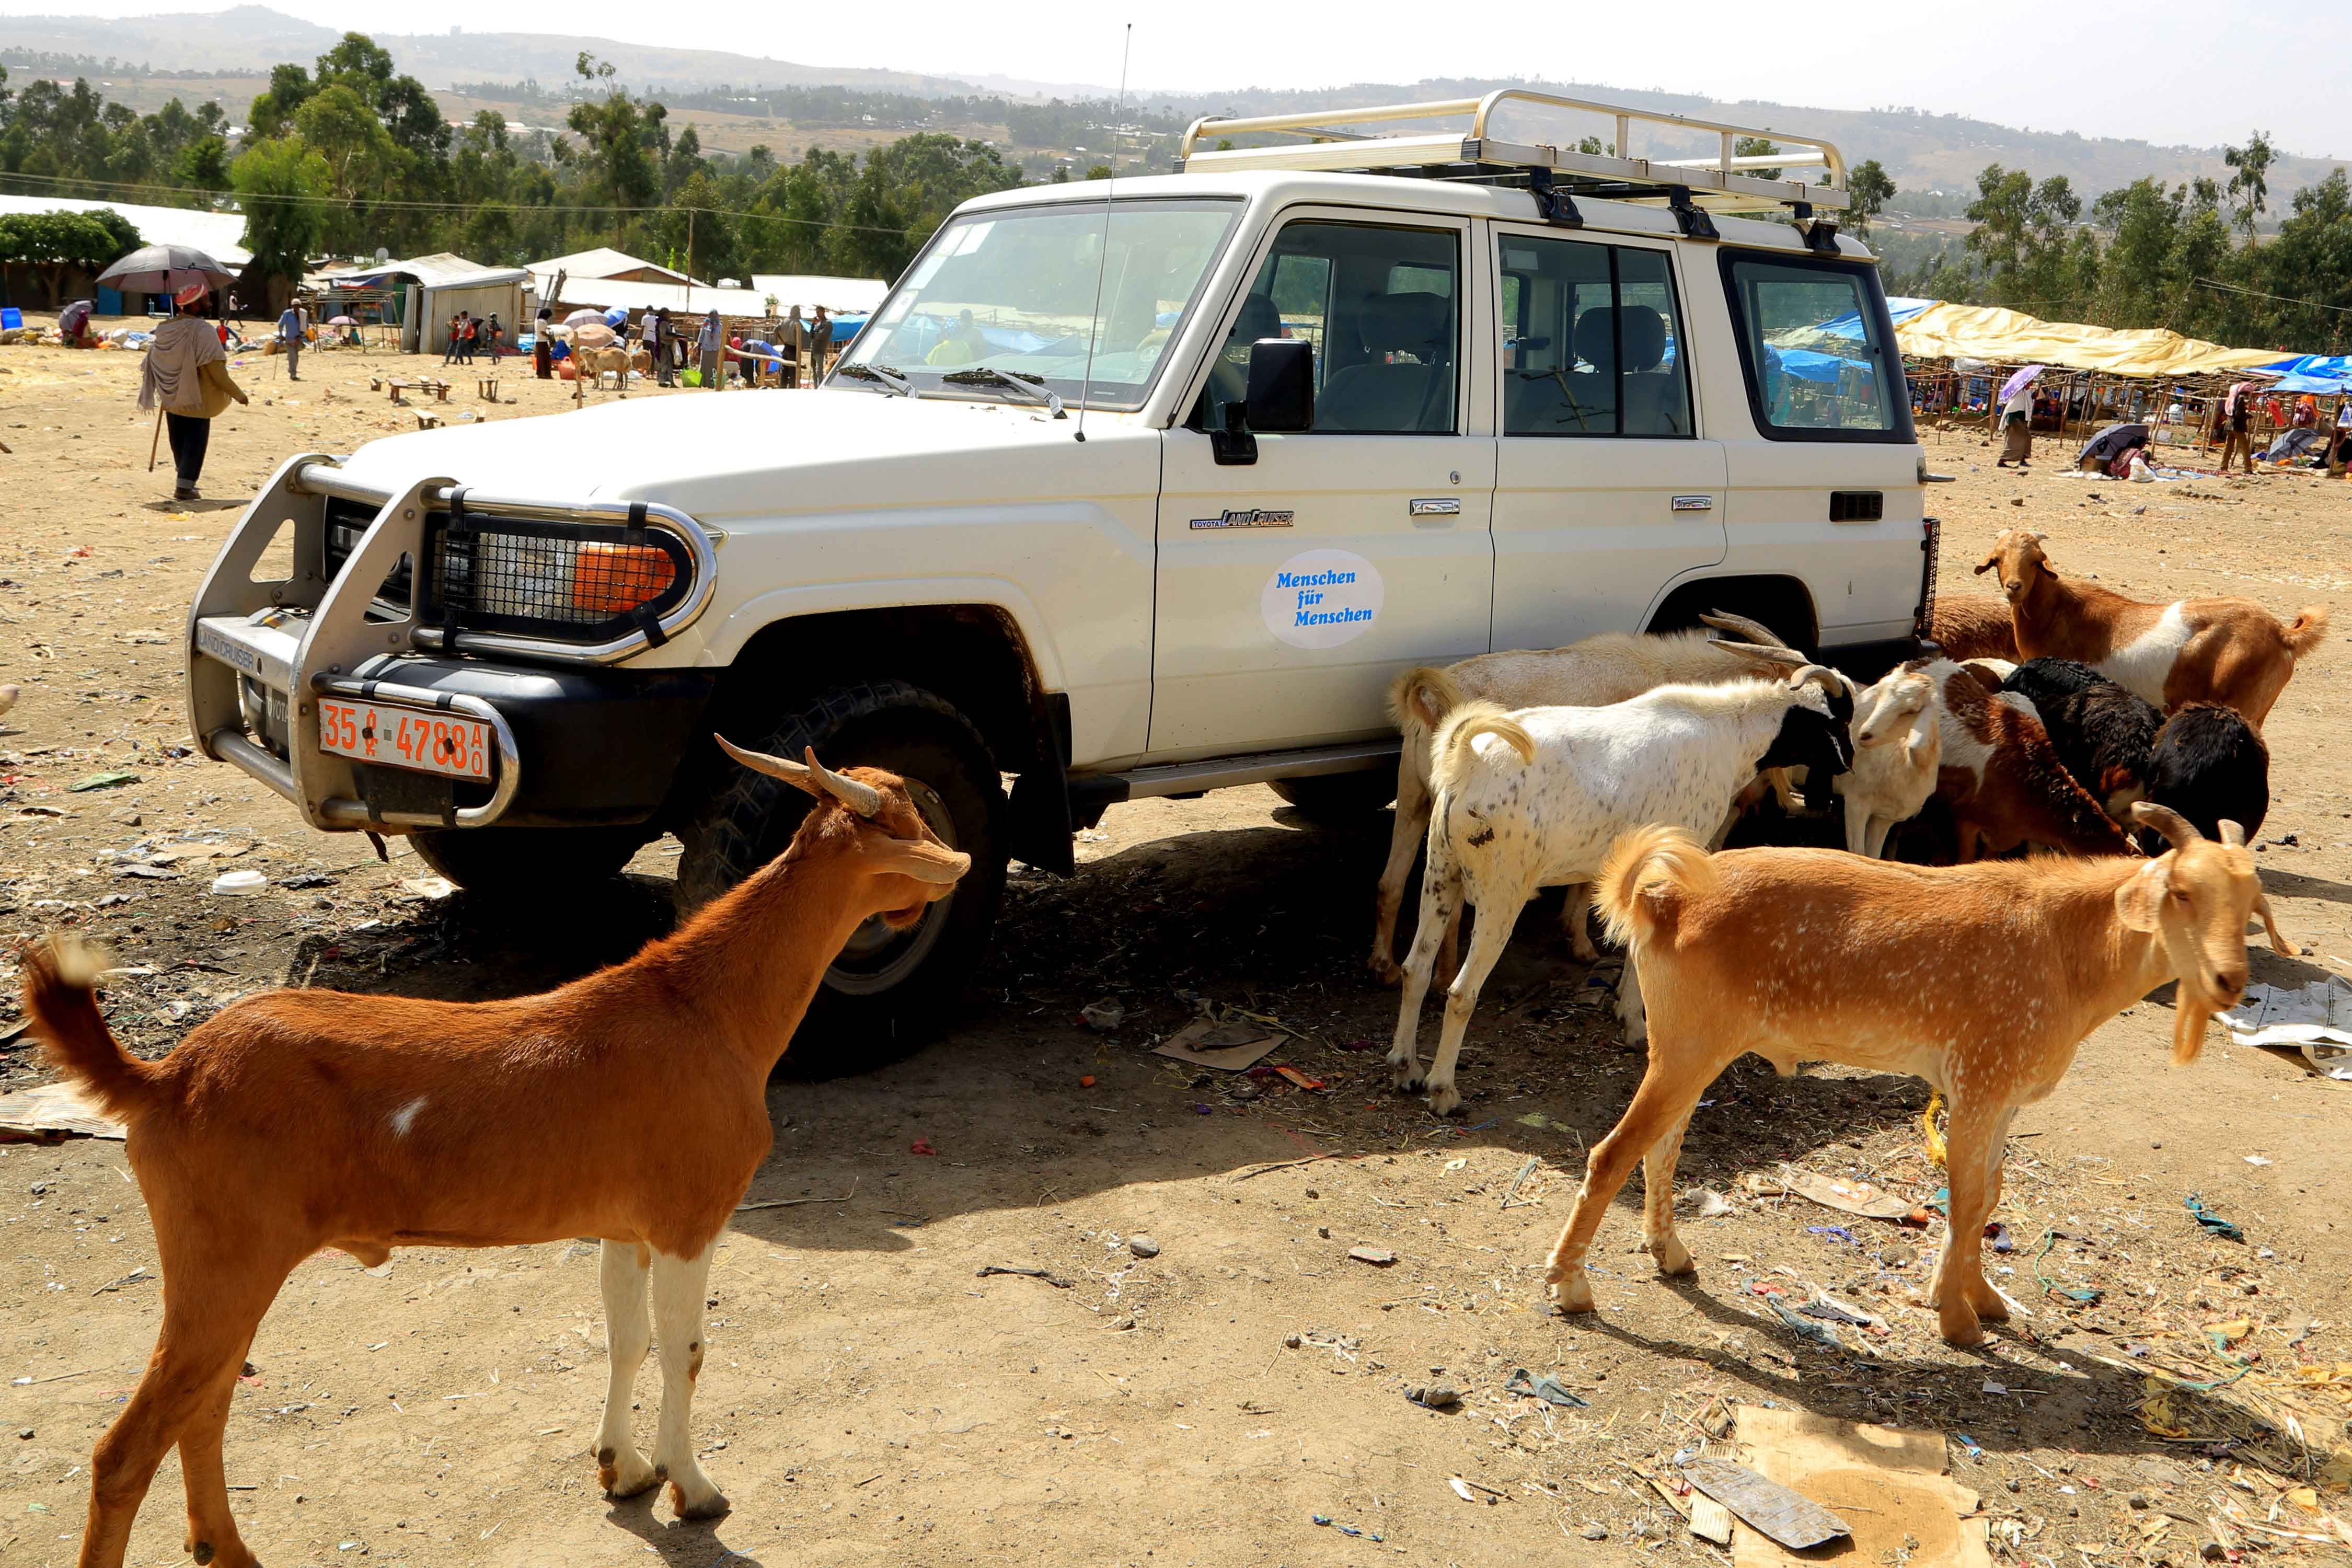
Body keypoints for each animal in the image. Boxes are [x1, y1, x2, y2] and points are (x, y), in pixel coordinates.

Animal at [22, 747, 960, 1568]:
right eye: (903, 821)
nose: (958, 864)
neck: (705, 1009)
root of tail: (166, 1076)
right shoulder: (691, 1217)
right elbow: (685, 1349)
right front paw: (694, 1490)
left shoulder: (626, 1225)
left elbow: (625, 1341)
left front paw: (623, 1470)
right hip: (226, 1257)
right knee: (129, 1445)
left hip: (227, 1268)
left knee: (205, 1408)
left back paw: (229, 1550)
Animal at [1543, 809, 2296, 1354]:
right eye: (2182, 893)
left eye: (2250, 901)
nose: (2229, 981)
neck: (2066, 950)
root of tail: (1664, 898)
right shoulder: (1981, 1079)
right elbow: (1966, 1200)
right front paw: (1959, 1322)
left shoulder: (2000, 1097)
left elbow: (1989, 1193)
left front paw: (1976, 1298)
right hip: (1689, 1046)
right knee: (1613, 1154)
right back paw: (1571, 1287)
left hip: (1687, 1048)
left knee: (1661, 1149)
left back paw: (1670, 1254)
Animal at [1976, 526, 2324, 724]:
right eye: (1998, 559)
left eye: (2037, 561)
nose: (2015, 587)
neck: (2059, 611)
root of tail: (2281, 633)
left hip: (2241, 701)